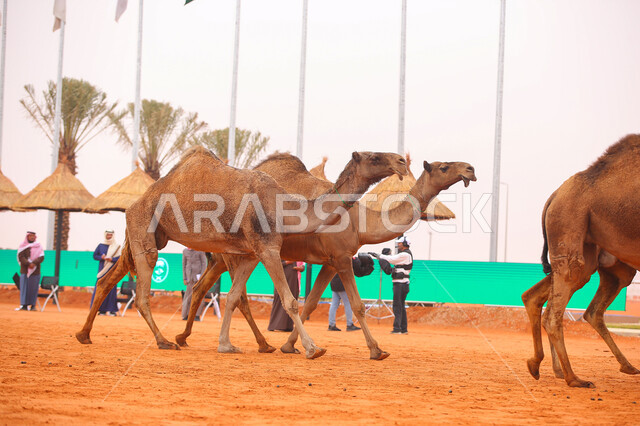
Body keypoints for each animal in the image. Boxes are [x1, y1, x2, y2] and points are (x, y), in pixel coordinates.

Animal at [75, 147, 408, 359]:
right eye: (374, 156)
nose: (402, 161)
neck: (283, 205)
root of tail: (135, 203)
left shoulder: (250, 252)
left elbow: (235, 297)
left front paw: (227, 345)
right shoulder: (268, 247)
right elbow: (290, 300)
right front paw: (313, 349)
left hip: (144, 236)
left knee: (108, 279)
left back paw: (84, 335)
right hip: (145, 230)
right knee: (143, 294)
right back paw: (165, 341)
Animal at [176, 156, 476, 359]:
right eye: (443, 167)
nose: (470, 169)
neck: (360, 222)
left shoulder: (331, 262)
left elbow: (309, 303)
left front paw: (290, 346)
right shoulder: (342, 259)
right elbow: (356, 306)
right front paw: (376, 350)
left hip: (221, 256)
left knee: (202, 287)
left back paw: (185, 337)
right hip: (234, 253)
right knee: (236, 297)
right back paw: (255, 343)